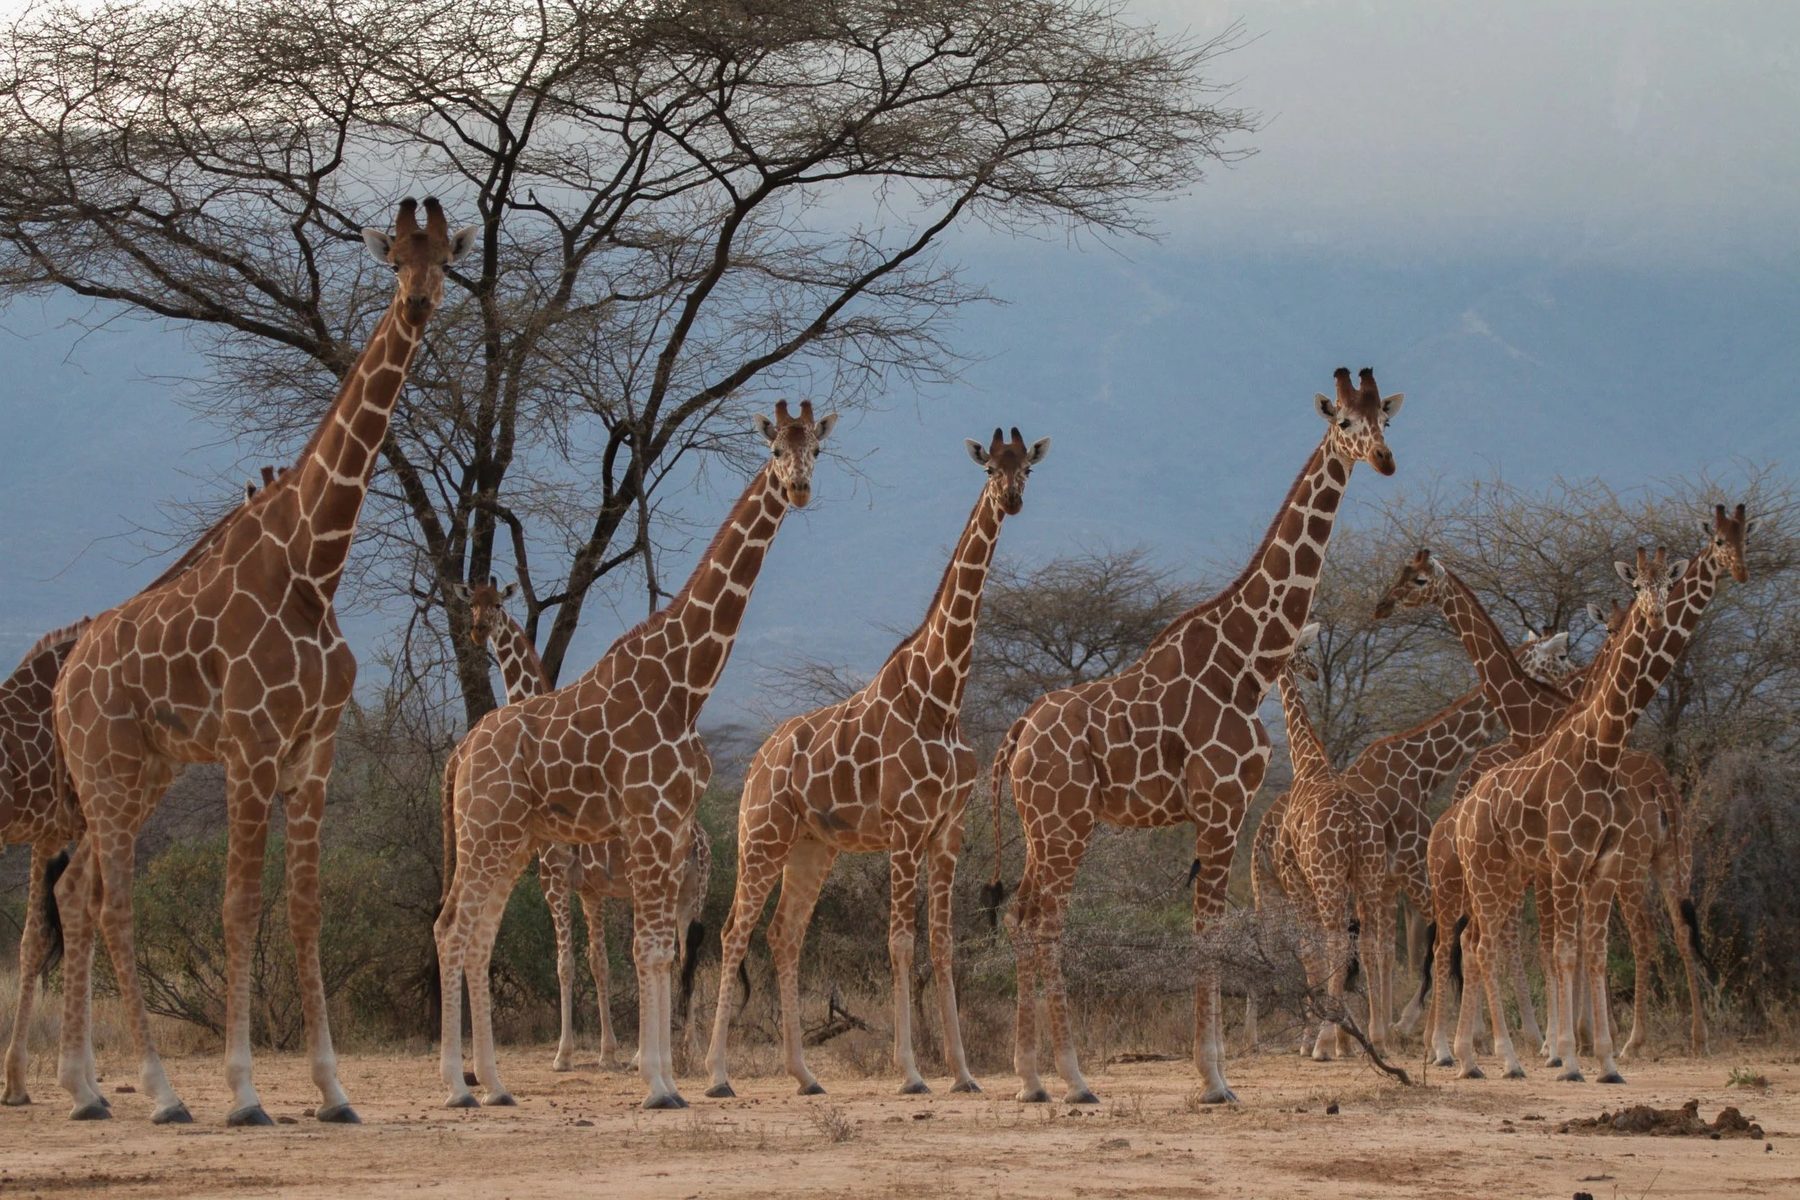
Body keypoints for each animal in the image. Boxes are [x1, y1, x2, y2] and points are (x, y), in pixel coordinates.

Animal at [50, 197, 476, 1125]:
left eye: (446, 261)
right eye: (394, 259)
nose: (419, 304)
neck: (313, 568)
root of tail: (63, 678)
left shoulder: (313, 750)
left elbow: (306, 910)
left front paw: (333, 1091)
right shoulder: (251, 745)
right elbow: (239, 904)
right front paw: (245, 1092)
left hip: (145, 772)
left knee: (75, 891)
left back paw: (87, 1087)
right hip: (106, 767)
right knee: (112, 900)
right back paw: (163, 1093)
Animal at [445, 578, 711, 1072]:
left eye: (496, 605)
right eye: (470, 604)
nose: (476, 630)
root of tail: (704, 844)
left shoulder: (553, 877)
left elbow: (565, 963)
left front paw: (564, 1054)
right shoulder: (590, 890)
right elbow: (598, 962)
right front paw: (608, 1050)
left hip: (681, 890)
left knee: (680, 954)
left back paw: (678, 1052)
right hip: (684, 893)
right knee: (680, 954)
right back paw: (681, 1051)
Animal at [705, 427, 1049, 1099]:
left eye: (1028, 468)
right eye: (990, 469)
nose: (1015, 499)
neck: (941, 695)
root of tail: (757, 760)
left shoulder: (947, 832)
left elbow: (941, 945)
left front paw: (964, 1073)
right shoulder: (905, 830)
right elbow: (899, 944)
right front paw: (911, 1072)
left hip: (812, 847)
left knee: (784, 935)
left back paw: (804, 1074)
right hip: (761, 835)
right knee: (735, 931)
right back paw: (716, 1076)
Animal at [990, 368, 1403, 1105]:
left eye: (1384, 416)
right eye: (1344, 423)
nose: (1383, 459)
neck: (1246, 663)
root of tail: (1018, 734)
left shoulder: (1224, 810)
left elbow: (1212, 930)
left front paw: (1214, 1070)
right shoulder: (1222, 805)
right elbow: (1209, 932)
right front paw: (1214, 1078)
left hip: (1045, 825)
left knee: (1023, 915)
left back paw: (1033, 1078)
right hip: (1065, 823)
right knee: (1044, 920)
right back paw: (1072, 1078)